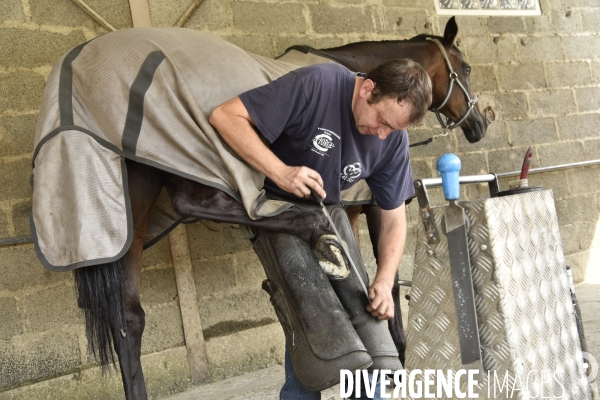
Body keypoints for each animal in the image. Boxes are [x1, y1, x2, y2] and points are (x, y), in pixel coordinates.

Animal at [72, 17, 488, 398]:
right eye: (466, 68)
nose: (480, 124)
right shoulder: (371, 205)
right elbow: (389, 276)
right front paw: (399, 354)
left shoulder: (351, 210)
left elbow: (368, 270)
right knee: (200, 202)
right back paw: (306, 221)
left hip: (132, 215)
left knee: (129, 319)